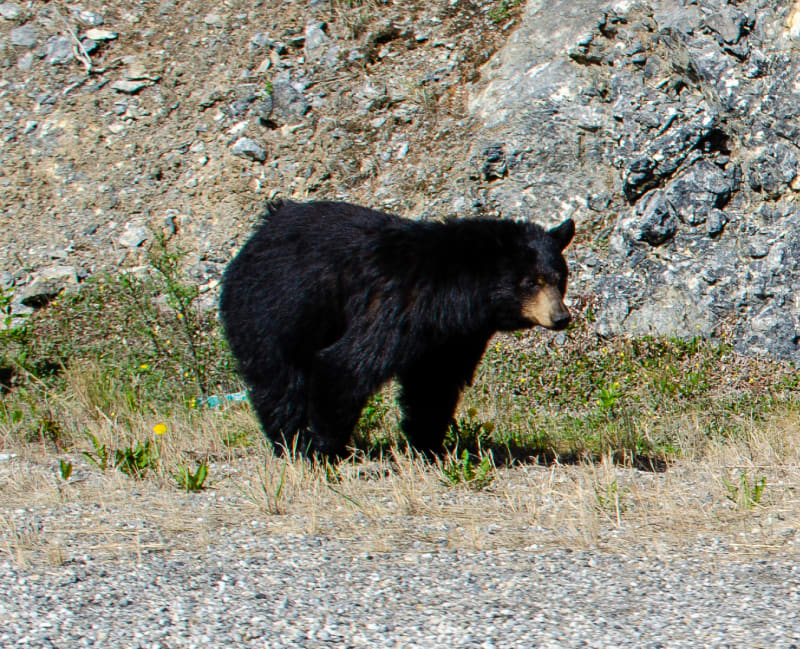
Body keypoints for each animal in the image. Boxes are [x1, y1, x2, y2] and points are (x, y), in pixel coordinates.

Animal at [219, 200, 572, 458]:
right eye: (532, 281)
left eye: (560, 278)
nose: (561, 317)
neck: (456, 293)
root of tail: (260, 230)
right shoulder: (398, 304)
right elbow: (347, 363)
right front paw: (323, 447)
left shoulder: (454, 334)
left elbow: (434, 381)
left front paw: (428, 445)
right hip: (272, 308)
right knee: (279, 377)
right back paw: (290, 441)